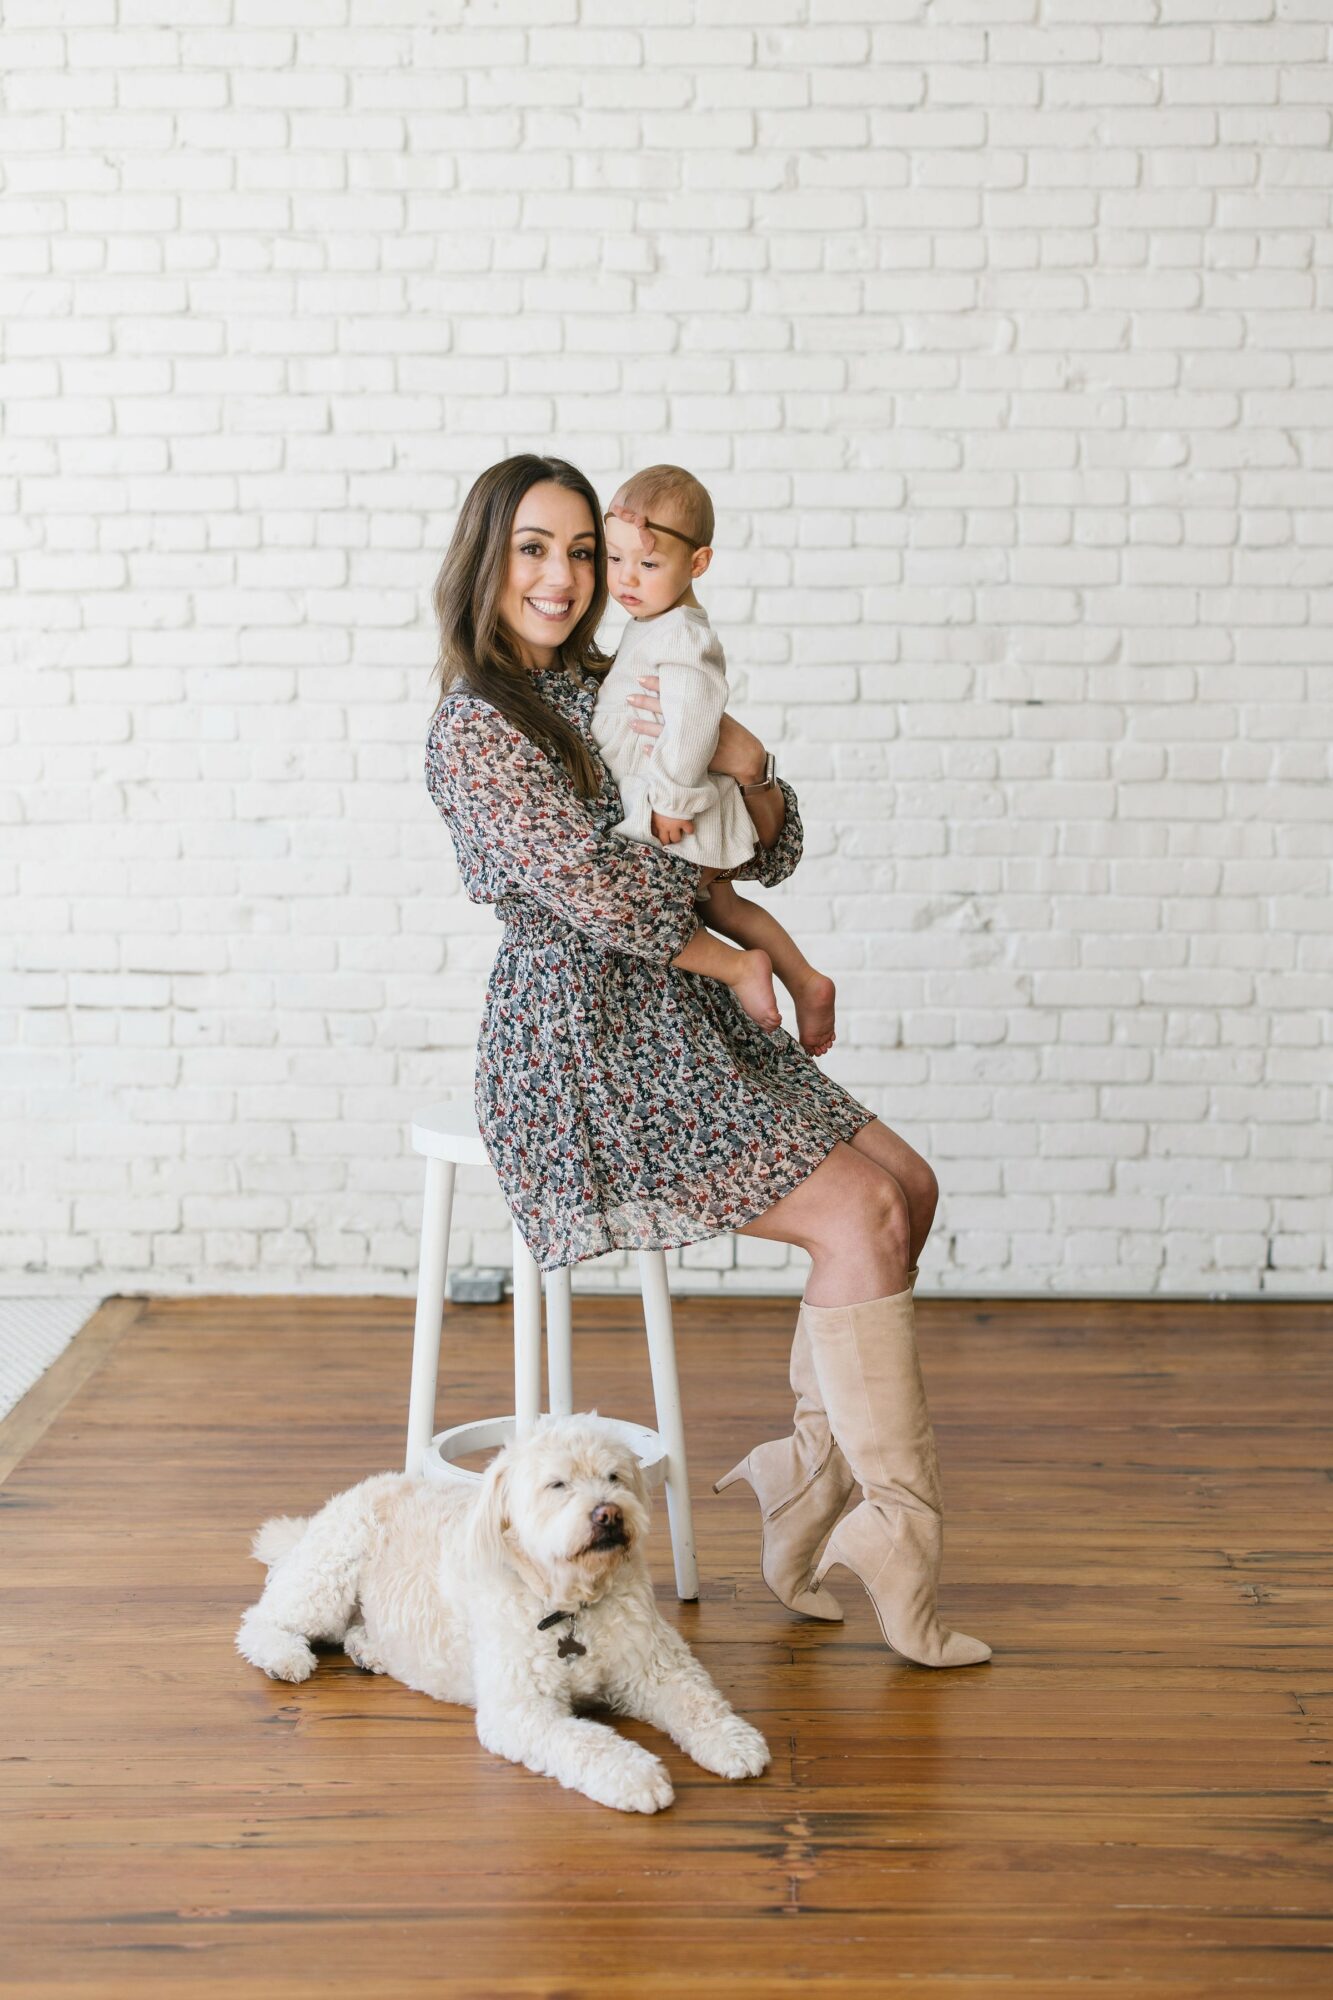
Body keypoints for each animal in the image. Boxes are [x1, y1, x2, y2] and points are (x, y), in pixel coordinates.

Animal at [236, 1412, 770, 1814]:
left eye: (614, 1477)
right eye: (557, 1485)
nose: (609, 1513)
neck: (569, 1605)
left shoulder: (655, 1666)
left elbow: (698, 1701)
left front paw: (734, 1742)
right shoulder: (522, 1709)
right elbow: (587, 1742)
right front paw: (637, 1775)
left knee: (349, 1628)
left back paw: (371, 1648)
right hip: (327, 1577)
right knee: (260, 1619)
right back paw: (285, 1655)